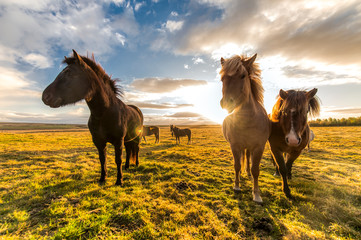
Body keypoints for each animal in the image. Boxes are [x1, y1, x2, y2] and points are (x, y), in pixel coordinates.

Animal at [218, 54, 268, 202]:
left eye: (243, 76)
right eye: (222, 79)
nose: (226, 103)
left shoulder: (259, 147)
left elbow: (256, 169)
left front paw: (256, 194)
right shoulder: (235, 145)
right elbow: (237, 165)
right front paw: (236, 186)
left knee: (248, 159)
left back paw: (248, 174)